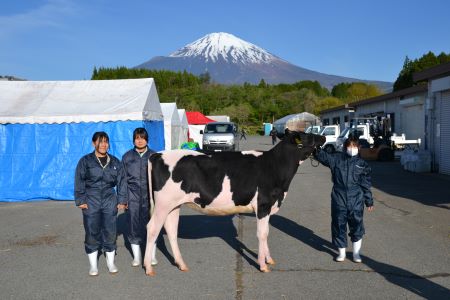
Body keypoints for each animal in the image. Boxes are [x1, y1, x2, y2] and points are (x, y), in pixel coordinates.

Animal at [143, 130, 324, 276]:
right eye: (308, 135)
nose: (323, 137)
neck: (275, 166)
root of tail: (158, 154)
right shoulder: (263, 205)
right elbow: (262, 234)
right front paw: (263, 265)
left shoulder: (269, 206)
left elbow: (266, 232)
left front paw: (269, 259)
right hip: (163, 204)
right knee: (152, 228)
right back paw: (148, 268)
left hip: (173, 205)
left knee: (171, 230)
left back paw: (181, 264)